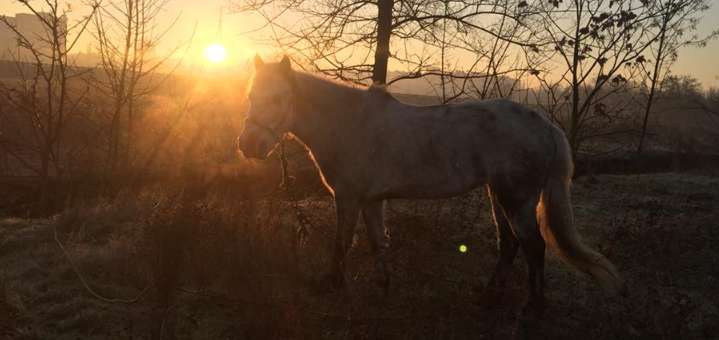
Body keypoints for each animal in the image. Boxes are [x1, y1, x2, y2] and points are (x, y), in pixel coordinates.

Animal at [238, 55, 624, 310]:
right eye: (250, 97)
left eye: (277, 98)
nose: (248, 145)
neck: (349, 123)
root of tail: (546, 127)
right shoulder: (370, 199)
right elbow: (378, 243)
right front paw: (382, 286)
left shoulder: (347, 197)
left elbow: (341, 243)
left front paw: (330, 284)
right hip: (498, 196)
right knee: (509, 244)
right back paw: (489, 296)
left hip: (516, 200)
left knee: (533, 246)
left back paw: (533, 306)